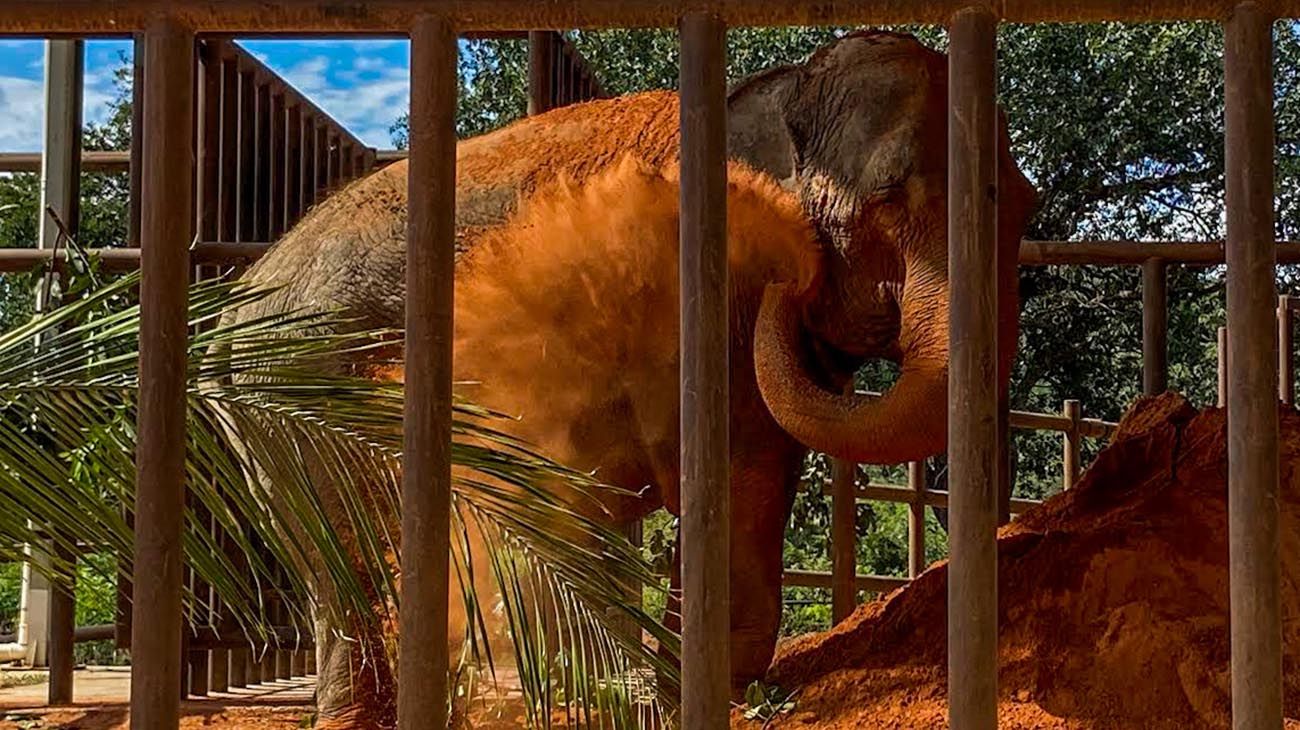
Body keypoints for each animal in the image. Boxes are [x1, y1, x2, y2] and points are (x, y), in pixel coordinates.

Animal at [236, 28, 1034, 722]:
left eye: (1027, 205)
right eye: (889, 197)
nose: (795, 271)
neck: (783, 94)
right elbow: (737, 474)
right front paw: (701, 694)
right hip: (302, 390)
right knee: (345, 557)